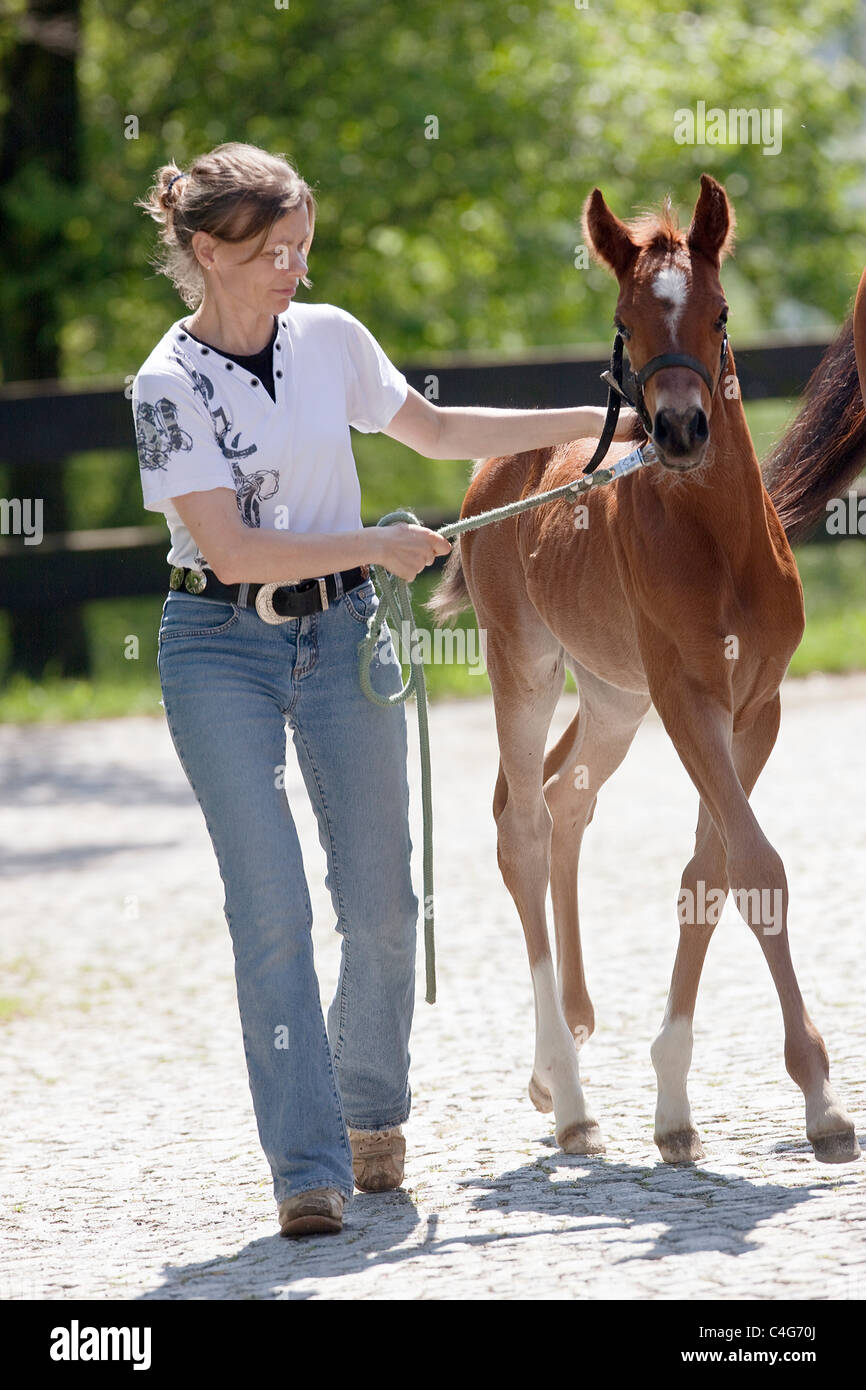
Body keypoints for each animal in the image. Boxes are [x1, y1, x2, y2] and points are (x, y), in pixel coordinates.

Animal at [427, 173, 863, 1166]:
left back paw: (557, 1062)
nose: (680, 429)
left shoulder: (753, 706)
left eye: (720, 312)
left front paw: (674, 1103)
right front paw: (821, 1100)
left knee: (562, 801)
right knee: (522, 829)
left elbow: (713, 870)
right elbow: (755, 863)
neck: (720, 541)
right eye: (626, 318)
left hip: (615, 699)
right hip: (528, 667)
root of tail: (490, 470)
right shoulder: (686, 697)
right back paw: (572, 1098)